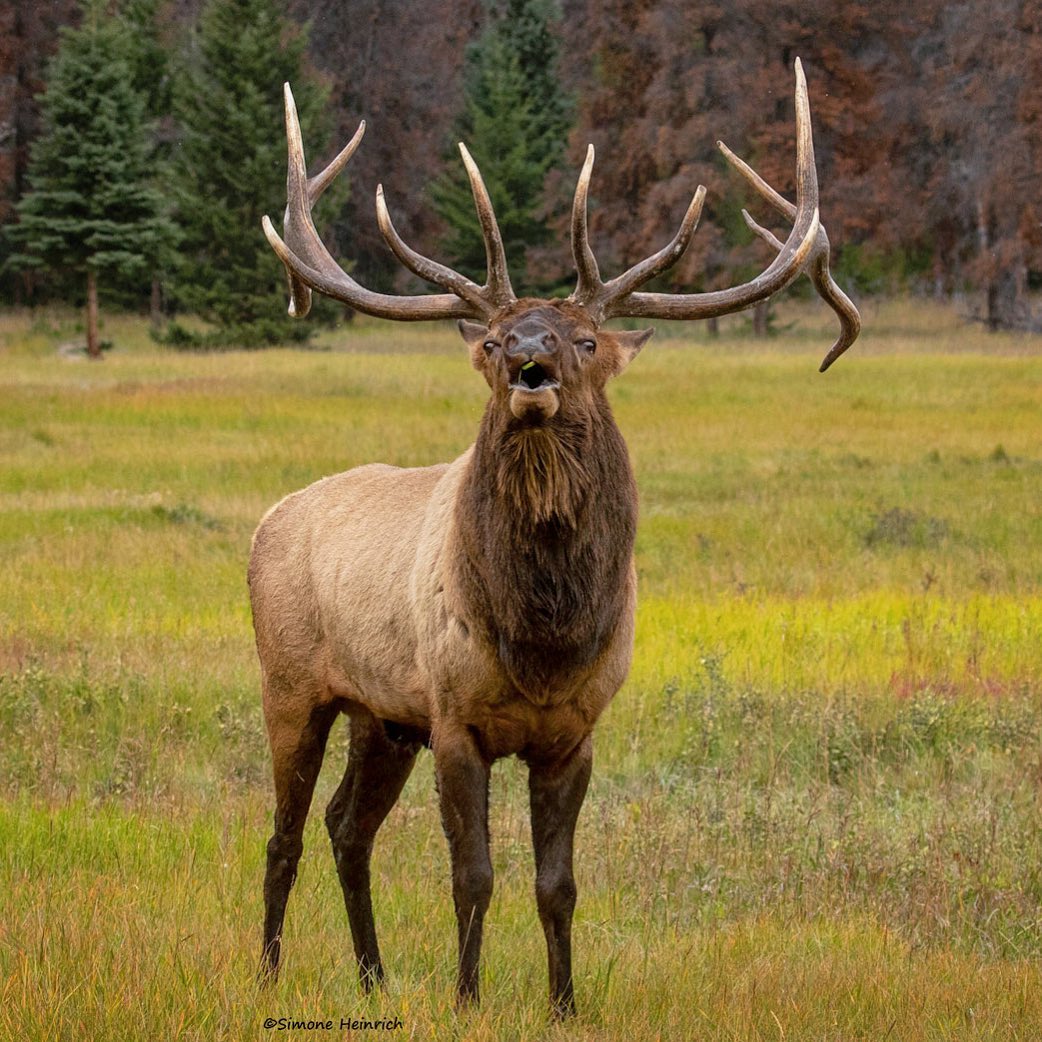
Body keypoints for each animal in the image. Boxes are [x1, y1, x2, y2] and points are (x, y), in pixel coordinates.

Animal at [250, 59, 854, 1016]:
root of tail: (267, 522)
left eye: (585, 338)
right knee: (286, 835)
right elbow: (473, 877)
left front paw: (564, 1001)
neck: (544, 640)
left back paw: (374, 977)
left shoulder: (574, 729)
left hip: (382, 716)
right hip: (294, 684)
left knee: (348, 827)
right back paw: (269, 971)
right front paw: (466, 1000)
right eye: (496, 340)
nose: (530, 357)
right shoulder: (454, 716)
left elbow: (557, 886)